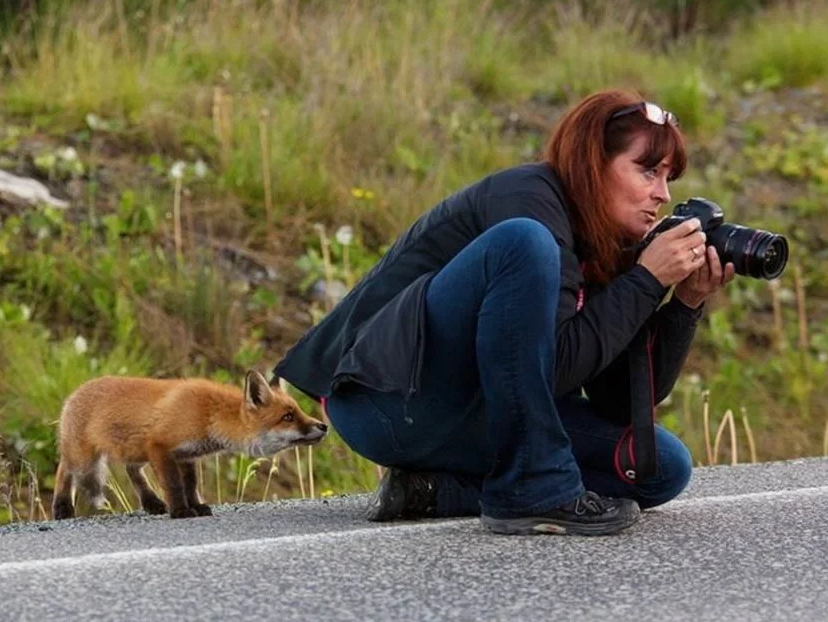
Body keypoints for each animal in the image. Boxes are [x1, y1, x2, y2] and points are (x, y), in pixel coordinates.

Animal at [50, 370, 330, 520]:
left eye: (299, 411)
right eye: (288, 417)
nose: (323, 426)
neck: (208, 415)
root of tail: (74, 392)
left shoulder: (186, 455)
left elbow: (191, 485)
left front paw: (195, 505)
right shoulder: (161, 446)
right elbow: (174, 485)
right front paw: (181, 510)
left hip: (134, 451)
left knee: (133, 471)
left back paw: (152, 503)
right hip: (84, 458)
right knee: (64, 470)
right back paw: (62, 507)